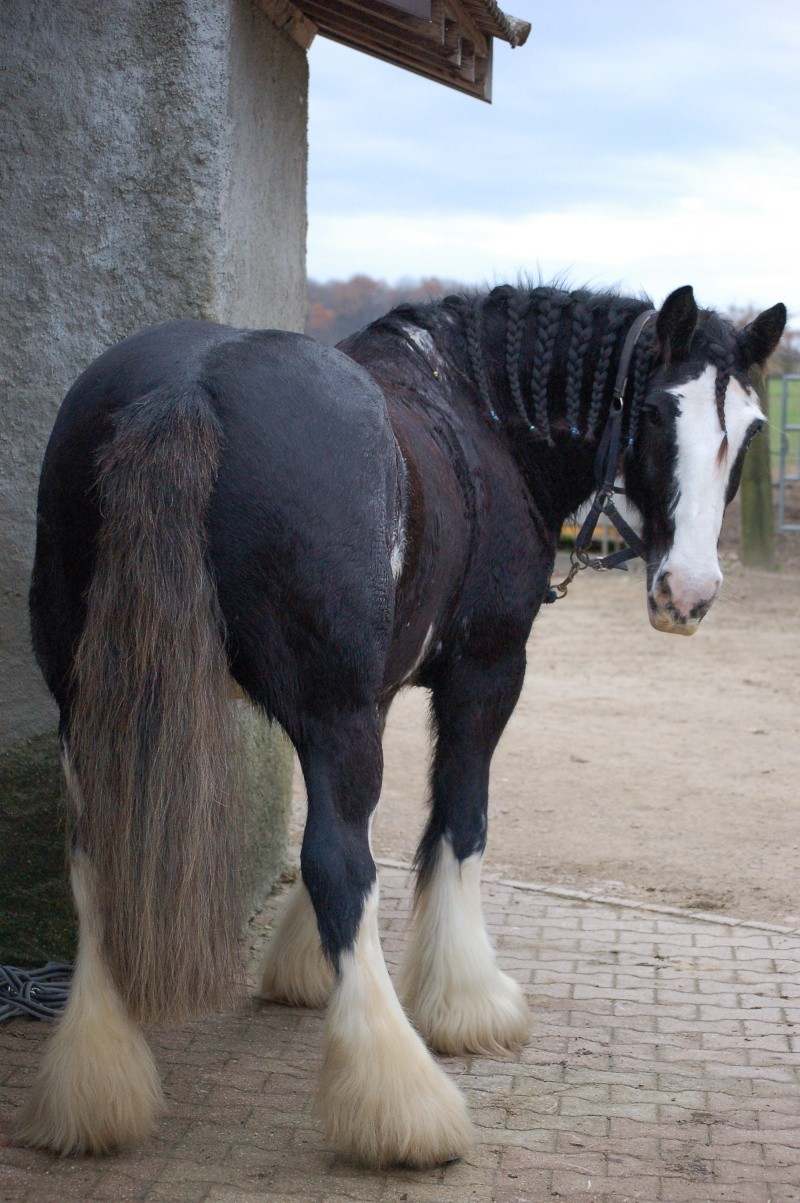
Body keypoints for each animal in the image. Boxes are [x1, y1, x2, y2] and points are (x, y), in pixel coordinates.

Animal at [20, 281, 784, 1164]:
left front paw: (303, 962)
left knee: (95, 850)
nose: (687, 594)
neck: (479, 407)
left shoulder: (374, 691)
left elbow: (378, 822)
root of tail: (187, 387)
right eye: (658, 413)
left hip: (94, 699)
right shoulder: (485, 670)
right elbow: (457, 822)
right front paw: (467, 1000)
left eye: (751, 428)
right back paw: (399, 1098)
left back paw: (94, 1086)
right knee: (336, 863)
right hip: (332, 709)